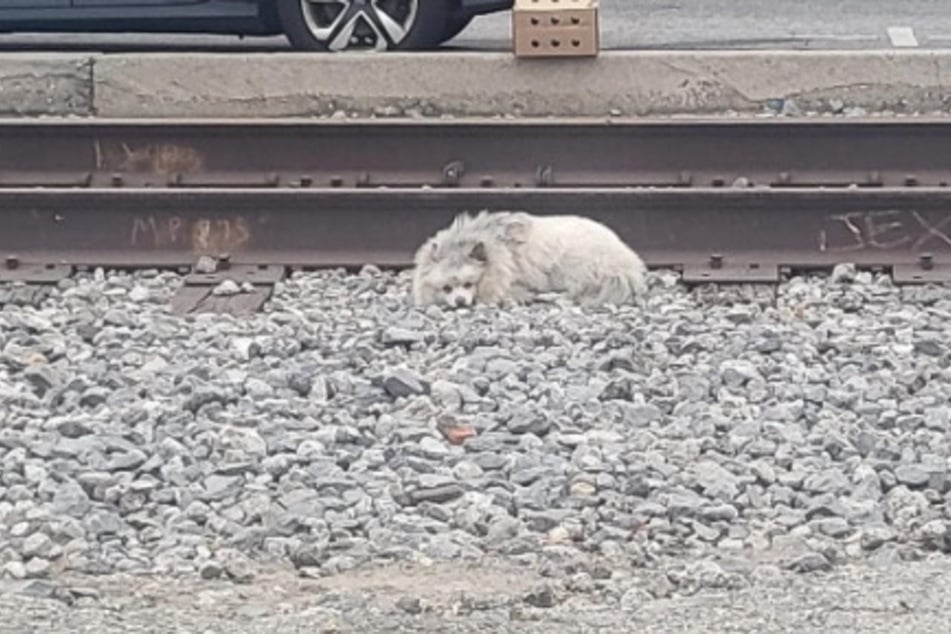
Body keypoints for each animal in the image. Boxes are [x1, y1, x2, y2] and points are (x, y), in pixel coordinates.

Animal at [410, 211, 648, 308]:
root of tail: (630, 266)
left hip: (574, 264)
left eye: (469, 284)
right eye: (446, 288)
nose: (459, 302)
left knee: (574, 292)